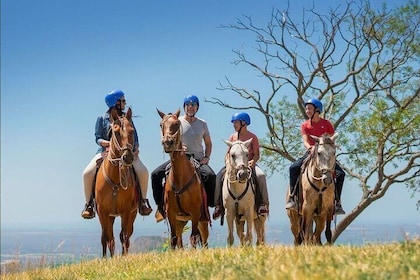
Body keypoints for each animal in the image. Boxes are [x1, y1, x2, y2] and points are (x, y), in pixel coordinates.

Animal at [94, 107, 138, 258]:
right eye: (116, 131)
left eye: (132, 130)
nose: (128, 157)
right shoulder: (103, 212)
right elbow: (108, 238)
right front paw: (108, 259)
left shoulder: (126, 211)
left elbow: (123, 236)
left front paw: (123, 257)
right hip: (109, 217)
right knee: (105, 237)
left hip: (132, 214)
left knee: (127, 236)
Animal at [157, 108, 209, 248]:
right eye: (161, 125)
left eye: (176, 124)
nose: (167, 143)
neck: (180, 178)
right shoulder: (171, 214)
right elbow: (174, 239)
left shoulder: (195, 213)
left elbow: (194, 238)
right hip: (180, 221)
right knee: (179, 238)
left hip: (202, 220)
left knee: (204, 240)